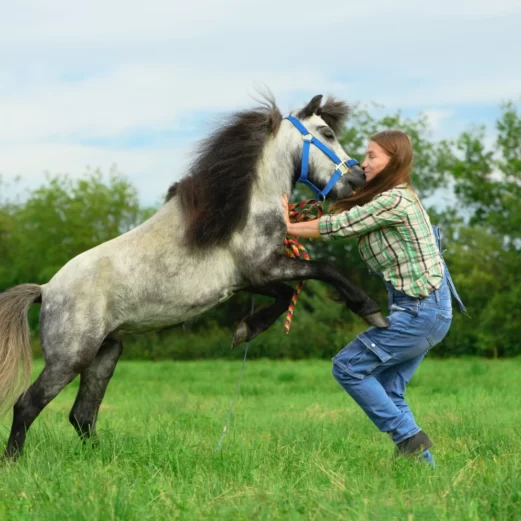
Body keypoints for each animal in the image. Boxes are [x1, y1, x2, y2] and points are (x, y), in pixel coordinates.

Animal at [0, 93, 386, 460]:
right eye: (327, 134)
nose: (357, 180)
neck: (246, 207)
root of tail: (47, 289)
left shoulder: (254, 279)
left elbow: (285, 296)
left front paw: (245, 330)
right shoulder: (264, 268)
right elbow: (324, 271)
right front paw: (370, 310)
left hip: (106, 353)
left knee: (82, 414)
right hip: (71, 357)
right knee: (27, 405)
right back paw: (15, 461)